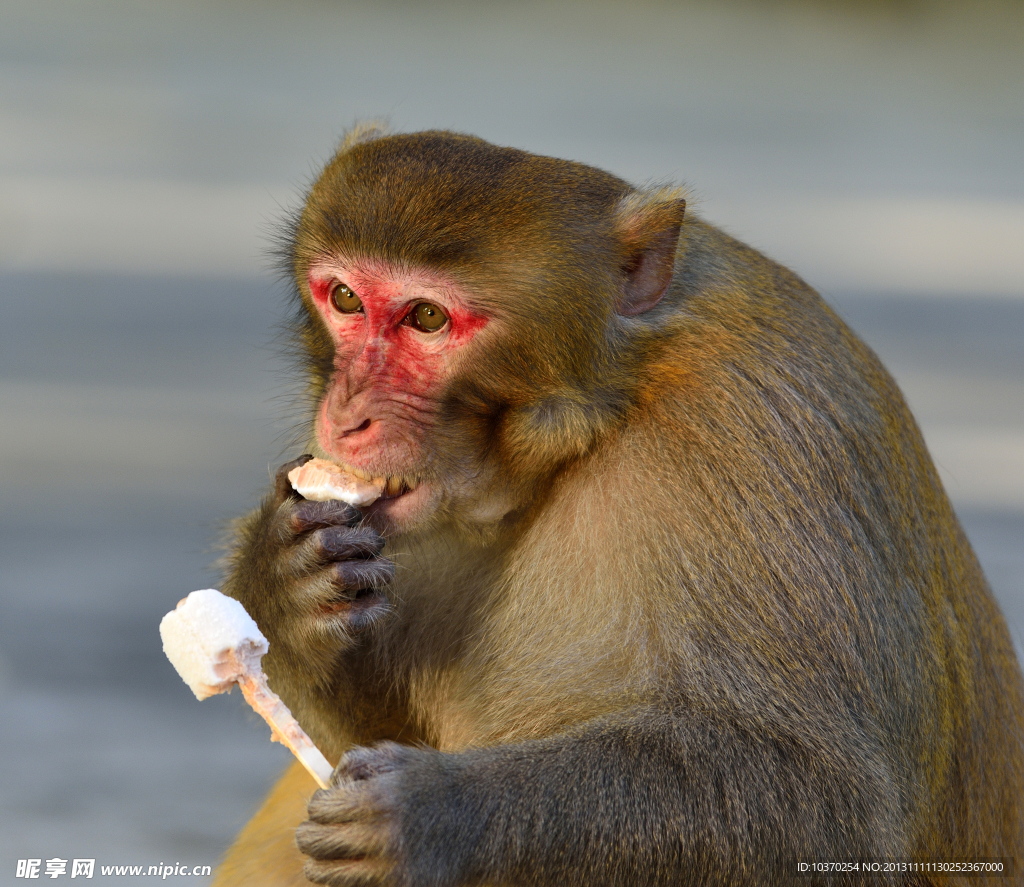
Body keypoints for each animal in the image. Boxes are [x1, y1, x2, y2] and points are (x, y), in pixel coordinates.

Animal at [209, 125, 1024, 884]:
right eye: (345, 298)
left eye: (428, 319)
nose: (347, 414)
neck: (608, 407)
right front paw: (284, 590)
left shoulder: (751, 438)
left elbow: (826, 804)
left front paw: (427, 814)